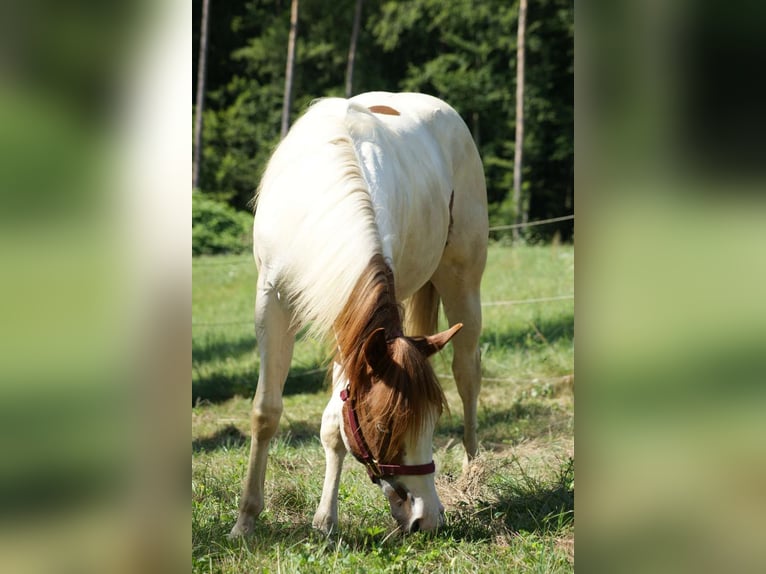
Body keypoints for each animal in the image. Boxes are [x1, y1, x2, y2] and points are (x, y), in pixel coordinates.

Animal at [231, 92, 488, 536]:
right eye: (387, 426)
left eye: (433, 420)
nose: (427, 518)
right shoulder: (273, 302)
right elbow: (266, 412)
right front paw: (246, 520)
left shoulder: (351, 322)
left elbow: (335, 424)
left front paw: (324, 521)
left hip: (463, 285)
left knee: (466, 372)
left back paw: (473, 472)